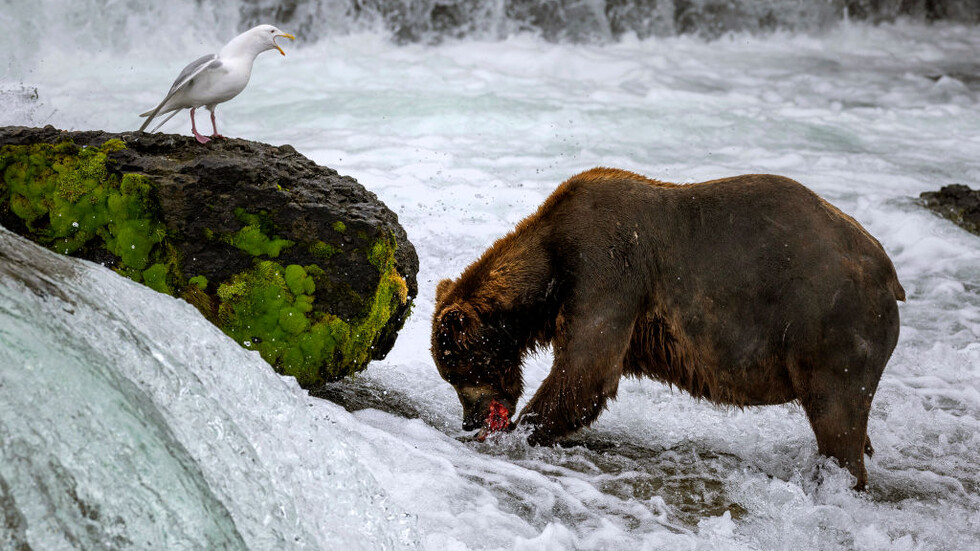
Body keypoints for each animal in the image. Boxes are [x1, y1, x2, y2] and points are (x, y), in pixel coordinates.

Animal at [432, 166, 908, 490]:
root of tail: (888, 272)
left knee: (836, 415)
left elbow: (586, 370)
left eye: (457, 371)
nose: (469, 420)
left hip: (828, 323)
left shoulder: (608, 271)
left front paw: (521, 430)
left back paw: (837, 480)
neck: (550, 269)